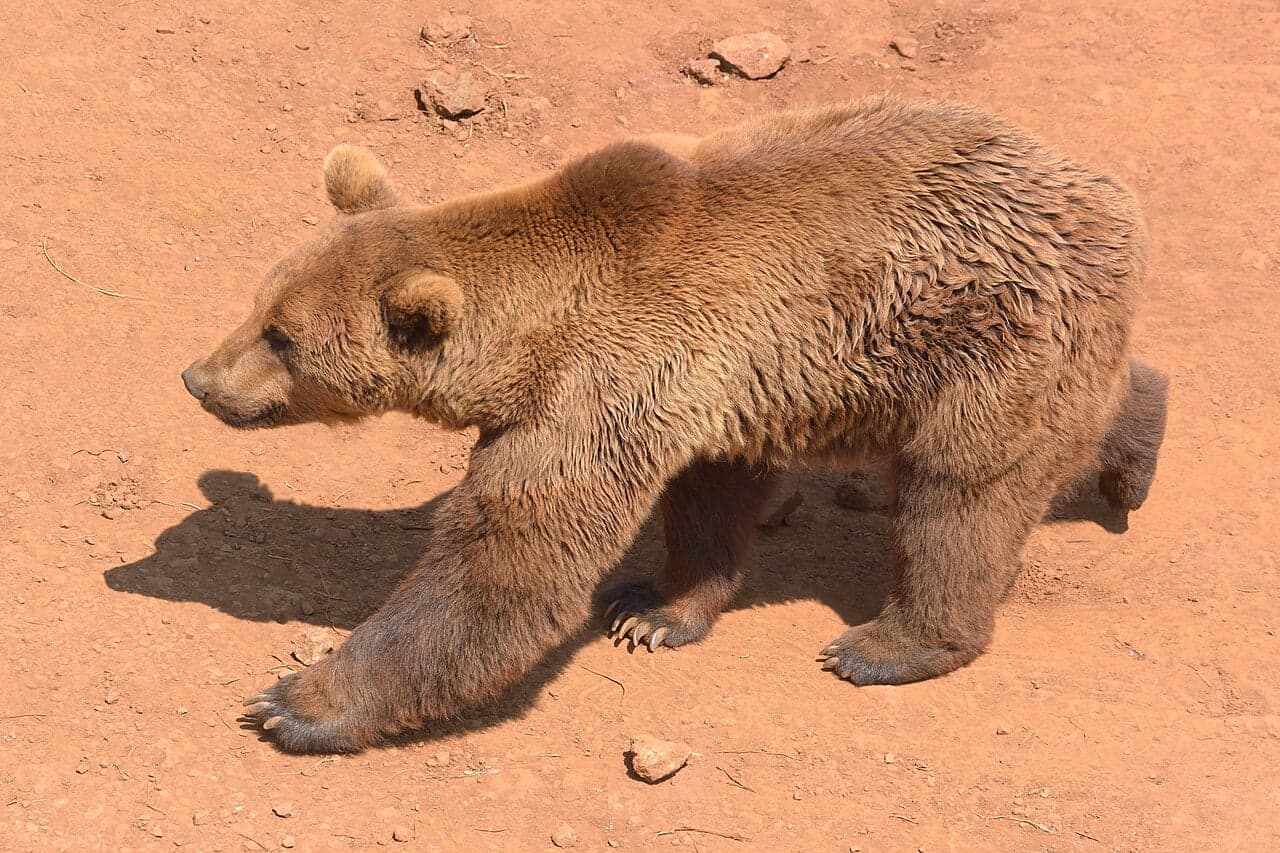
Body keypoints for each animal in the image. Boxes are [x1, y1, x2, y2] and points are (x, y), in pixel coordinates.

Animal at [180, 95, 1167, 753]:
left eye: (283, 337)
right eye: (260, 302)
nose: (198, 377)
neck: (529, 336)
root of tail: (1111, 197)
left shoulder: (597, 389)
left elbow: (507, 563)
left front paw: (296, 698)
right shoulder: (709, 391)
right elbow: (705, 503)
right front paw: (654, 608)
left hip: (984, 332)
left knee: (963, 496)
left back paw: (889, 642)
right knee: (1087, 411)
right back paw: (1135, 453)